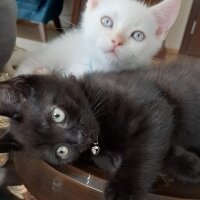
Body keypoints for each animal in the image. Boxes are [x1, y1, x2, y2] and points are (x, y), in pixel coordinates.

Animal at [1, 59, 200, 200]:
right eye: (61, 151)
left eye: (57, 115)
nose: (81, 137)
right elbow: (157, 149)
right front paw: (191, 166)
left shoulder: (152, 108)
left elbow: (145, 151)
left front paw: (124, 191)